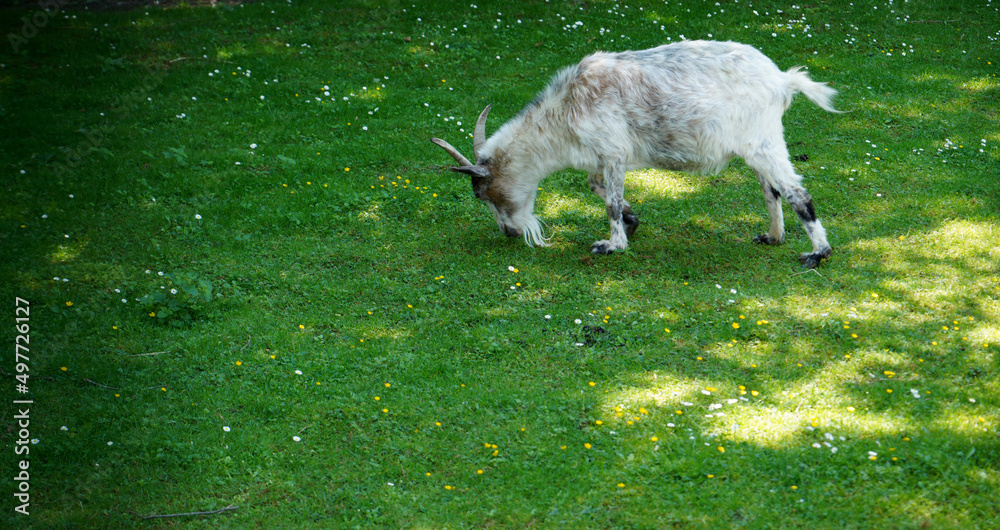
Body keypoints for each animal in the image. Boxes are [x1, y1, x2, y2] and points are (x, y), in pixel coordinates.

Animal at [431, 40, 841, 268]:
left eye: (485, 194)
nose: (510, 232)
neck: (564, 109)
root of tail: (782, 80)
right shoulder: (600, 158)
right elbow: (598, 188)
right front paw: (632, 222)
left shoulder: (612, 151)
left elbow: (610, 201)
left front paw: (613, 244)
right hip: (758, 145)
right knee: (771, 190)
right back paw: (773, 237)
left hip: (762, 142)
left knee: (797, 193)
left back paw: (817, 254)